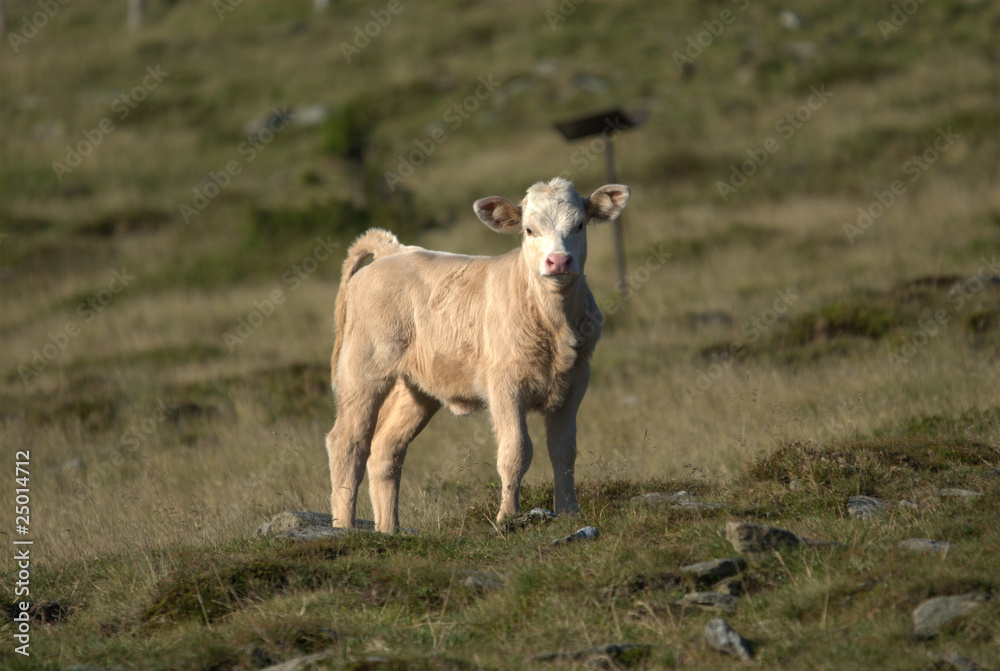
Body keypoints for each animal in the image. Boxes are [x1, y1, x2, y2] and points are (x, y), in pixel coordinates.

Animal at [326, 176, 630, 532]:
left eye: (580, 225)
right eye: (529, 230)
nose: (558, 261)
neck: (554, 324)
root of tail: (395, 252)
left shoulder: (575, 383)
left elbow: (564, 450)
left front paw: (569, 511)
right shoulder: (504, 386)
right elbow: (516, 451)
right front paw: (507, 517)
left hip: (415, 388)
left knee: (385, 451)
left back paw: (389, 531)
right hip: (362, 370)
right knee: (348, 444)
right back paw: (343, 528)